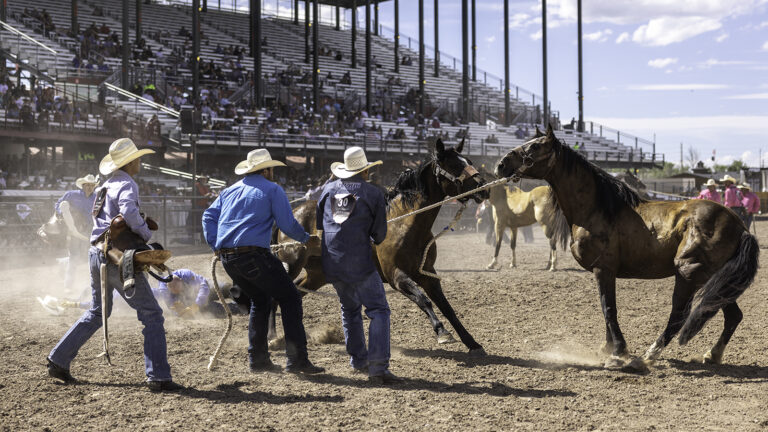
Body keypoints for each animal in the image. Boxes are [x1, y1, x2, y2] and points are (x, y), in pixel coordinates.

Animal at [280, 138, 488, 354]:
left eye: (469, 161)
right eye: (454, 165)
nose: (483, 187)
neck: (403, 223)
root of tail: (295, 209)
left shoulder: (427, 274)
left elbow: (447, 307)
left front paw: (471, 342)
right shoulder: (396, 276)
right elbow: (423, 300)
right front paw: (442, 332)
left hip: (317, 274)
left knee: (296, 292)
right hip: (293, 263)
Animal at [496, 125, 760, 372]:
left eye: (534, 147)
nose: (501, 164)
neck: (598, 209)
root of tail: (739, 226)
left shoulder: (603, 269)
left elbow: (609, 309)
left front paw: (619, 352)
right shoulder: (604, 272)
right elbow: (606, 309)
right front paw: (607, 348)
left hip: (689, 273)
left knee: (678, 315)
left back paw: (647, 357)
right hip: (717, 280)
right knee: (730, 314)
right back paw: (712, 354)